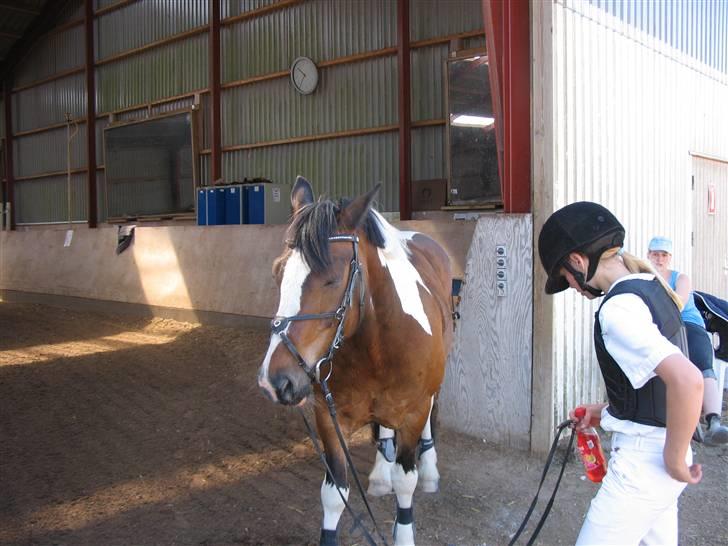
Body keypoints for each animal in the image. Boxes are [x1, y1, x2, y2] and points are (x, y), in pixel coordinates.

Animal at [255, 176, 450, 540]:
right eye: (277, 273)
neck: (376, 348)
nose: (275, 381)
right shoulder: (328, 418)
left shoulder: (414, 412)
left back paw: (429, 470)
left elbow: (406, 483)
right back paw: (380, 472)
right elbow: (334, 495)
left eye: (331, 279)